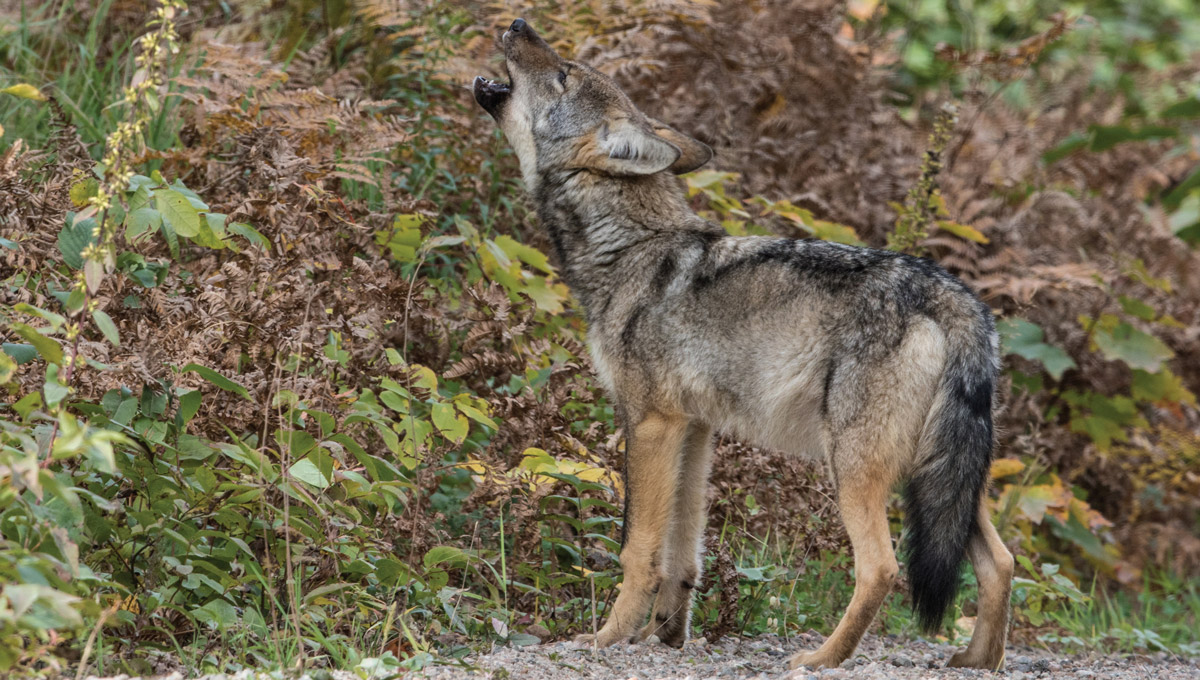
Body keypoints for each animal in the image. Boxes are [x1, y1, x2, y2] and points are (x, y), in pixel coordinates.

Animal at [472, 18, 1017, 671]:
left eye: (562, 74)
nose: (517, 23)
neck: (629, 250)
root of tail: (957, 298)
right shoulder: (693, 430)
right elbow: (681, 551)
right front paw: (665, 636)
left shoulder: (649, 423)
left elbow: (637, 547)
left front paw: (607, 639)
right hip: (942, 481)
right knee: (1002, 562)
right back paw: (976, 662)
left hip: (855, 470)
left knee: (882, 569)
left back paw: (820, 660)